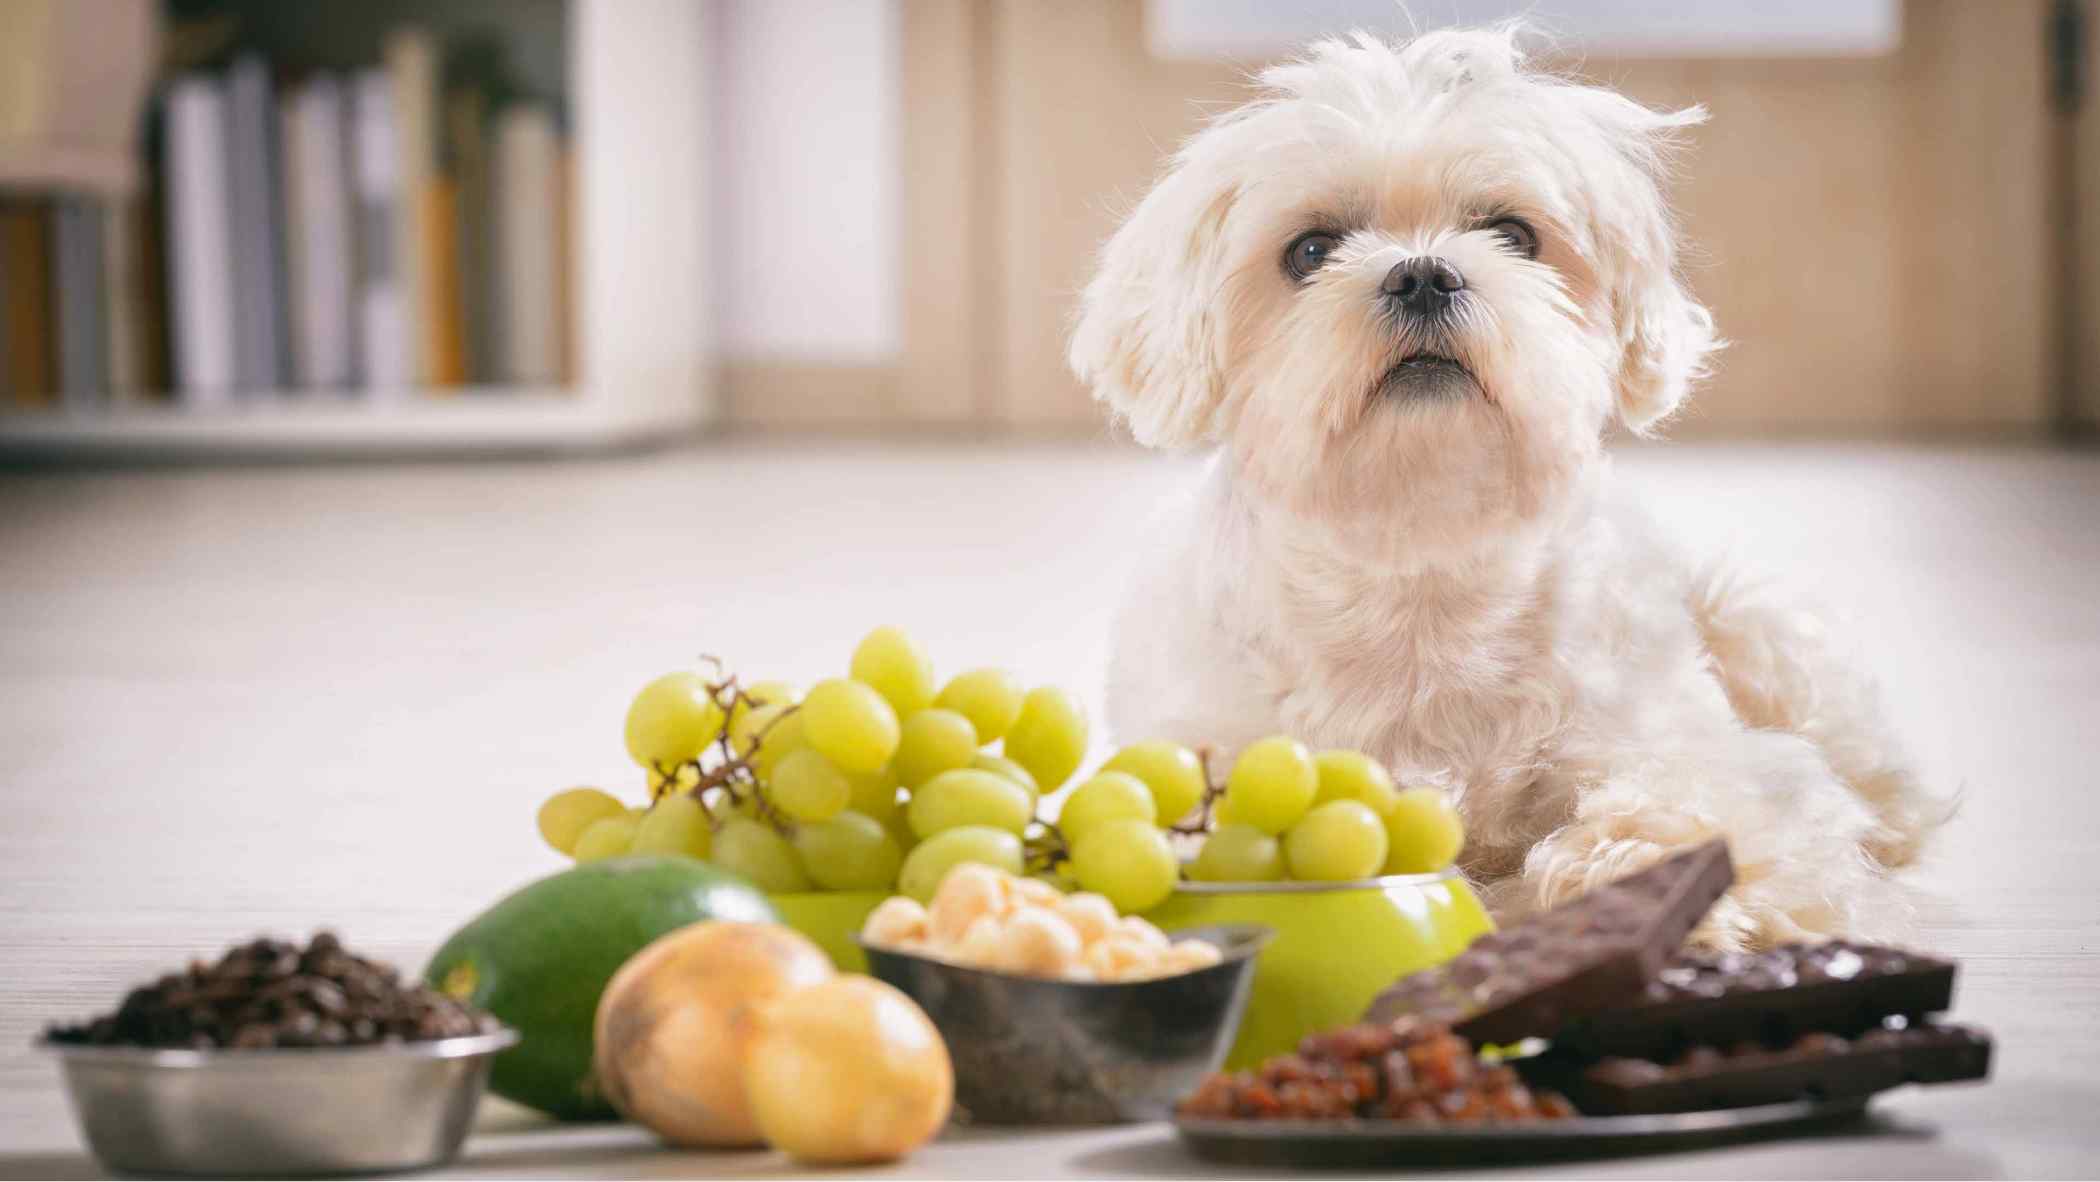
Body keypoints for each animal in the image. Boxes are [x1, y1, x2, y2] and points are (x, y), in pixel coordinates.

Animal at [1075, 25, 1940, 953]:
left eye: (1513, 234)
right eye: (1310, 251)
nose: (1422, 273)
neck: (1421, 555)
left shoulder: (1690, 750)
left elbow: (1696, 806)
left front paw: (1644, 880)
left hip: (1755, 631)